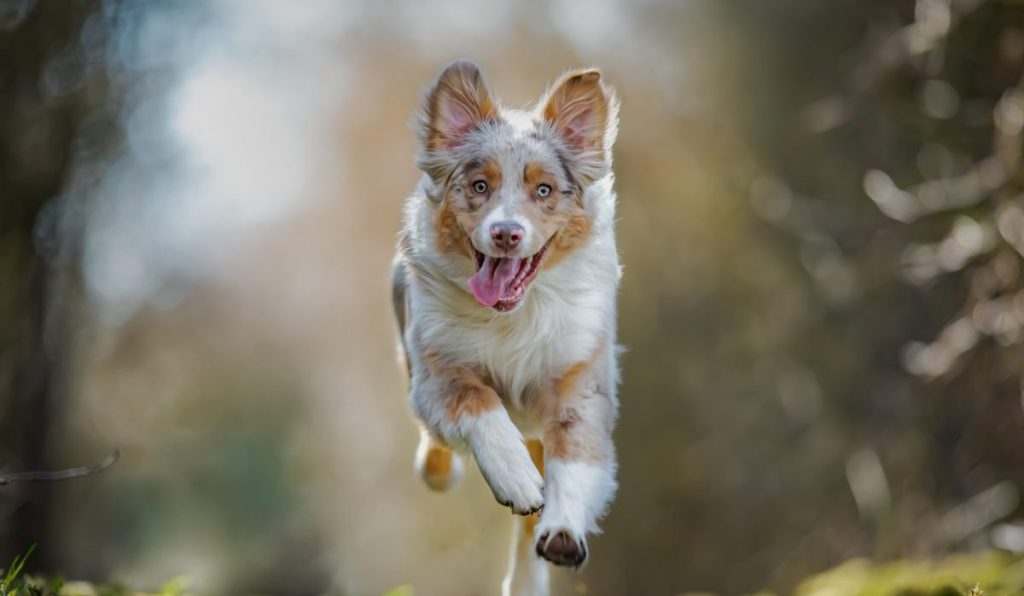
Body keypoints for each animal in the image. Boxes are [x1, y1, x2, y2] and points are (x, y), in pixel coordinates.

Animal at [389, 61, 614, 596]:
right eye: (479, 187)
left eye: (544, 190)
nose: (506, 233)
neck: (513, 316)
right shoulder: (435, 371)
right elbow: (477, 401)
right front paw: (513, 477)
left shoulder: (580, 379)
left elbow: (575, 452)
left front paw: (563, 527)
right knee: (438, 450)